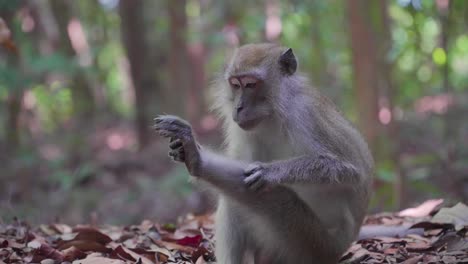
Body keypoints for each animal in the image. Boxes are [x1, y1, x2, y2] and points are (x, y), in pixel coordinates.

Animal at [154, 42, 372, 262]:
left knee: (267, 197)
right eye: (235, 85)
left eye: (250, 84)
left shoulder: (306, 113)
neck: (274, 114)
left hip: (313, 242)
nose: (238, 107)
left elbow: (350, 170)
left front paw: (272, 172)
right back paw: (196, 161)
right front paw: (189, 152)